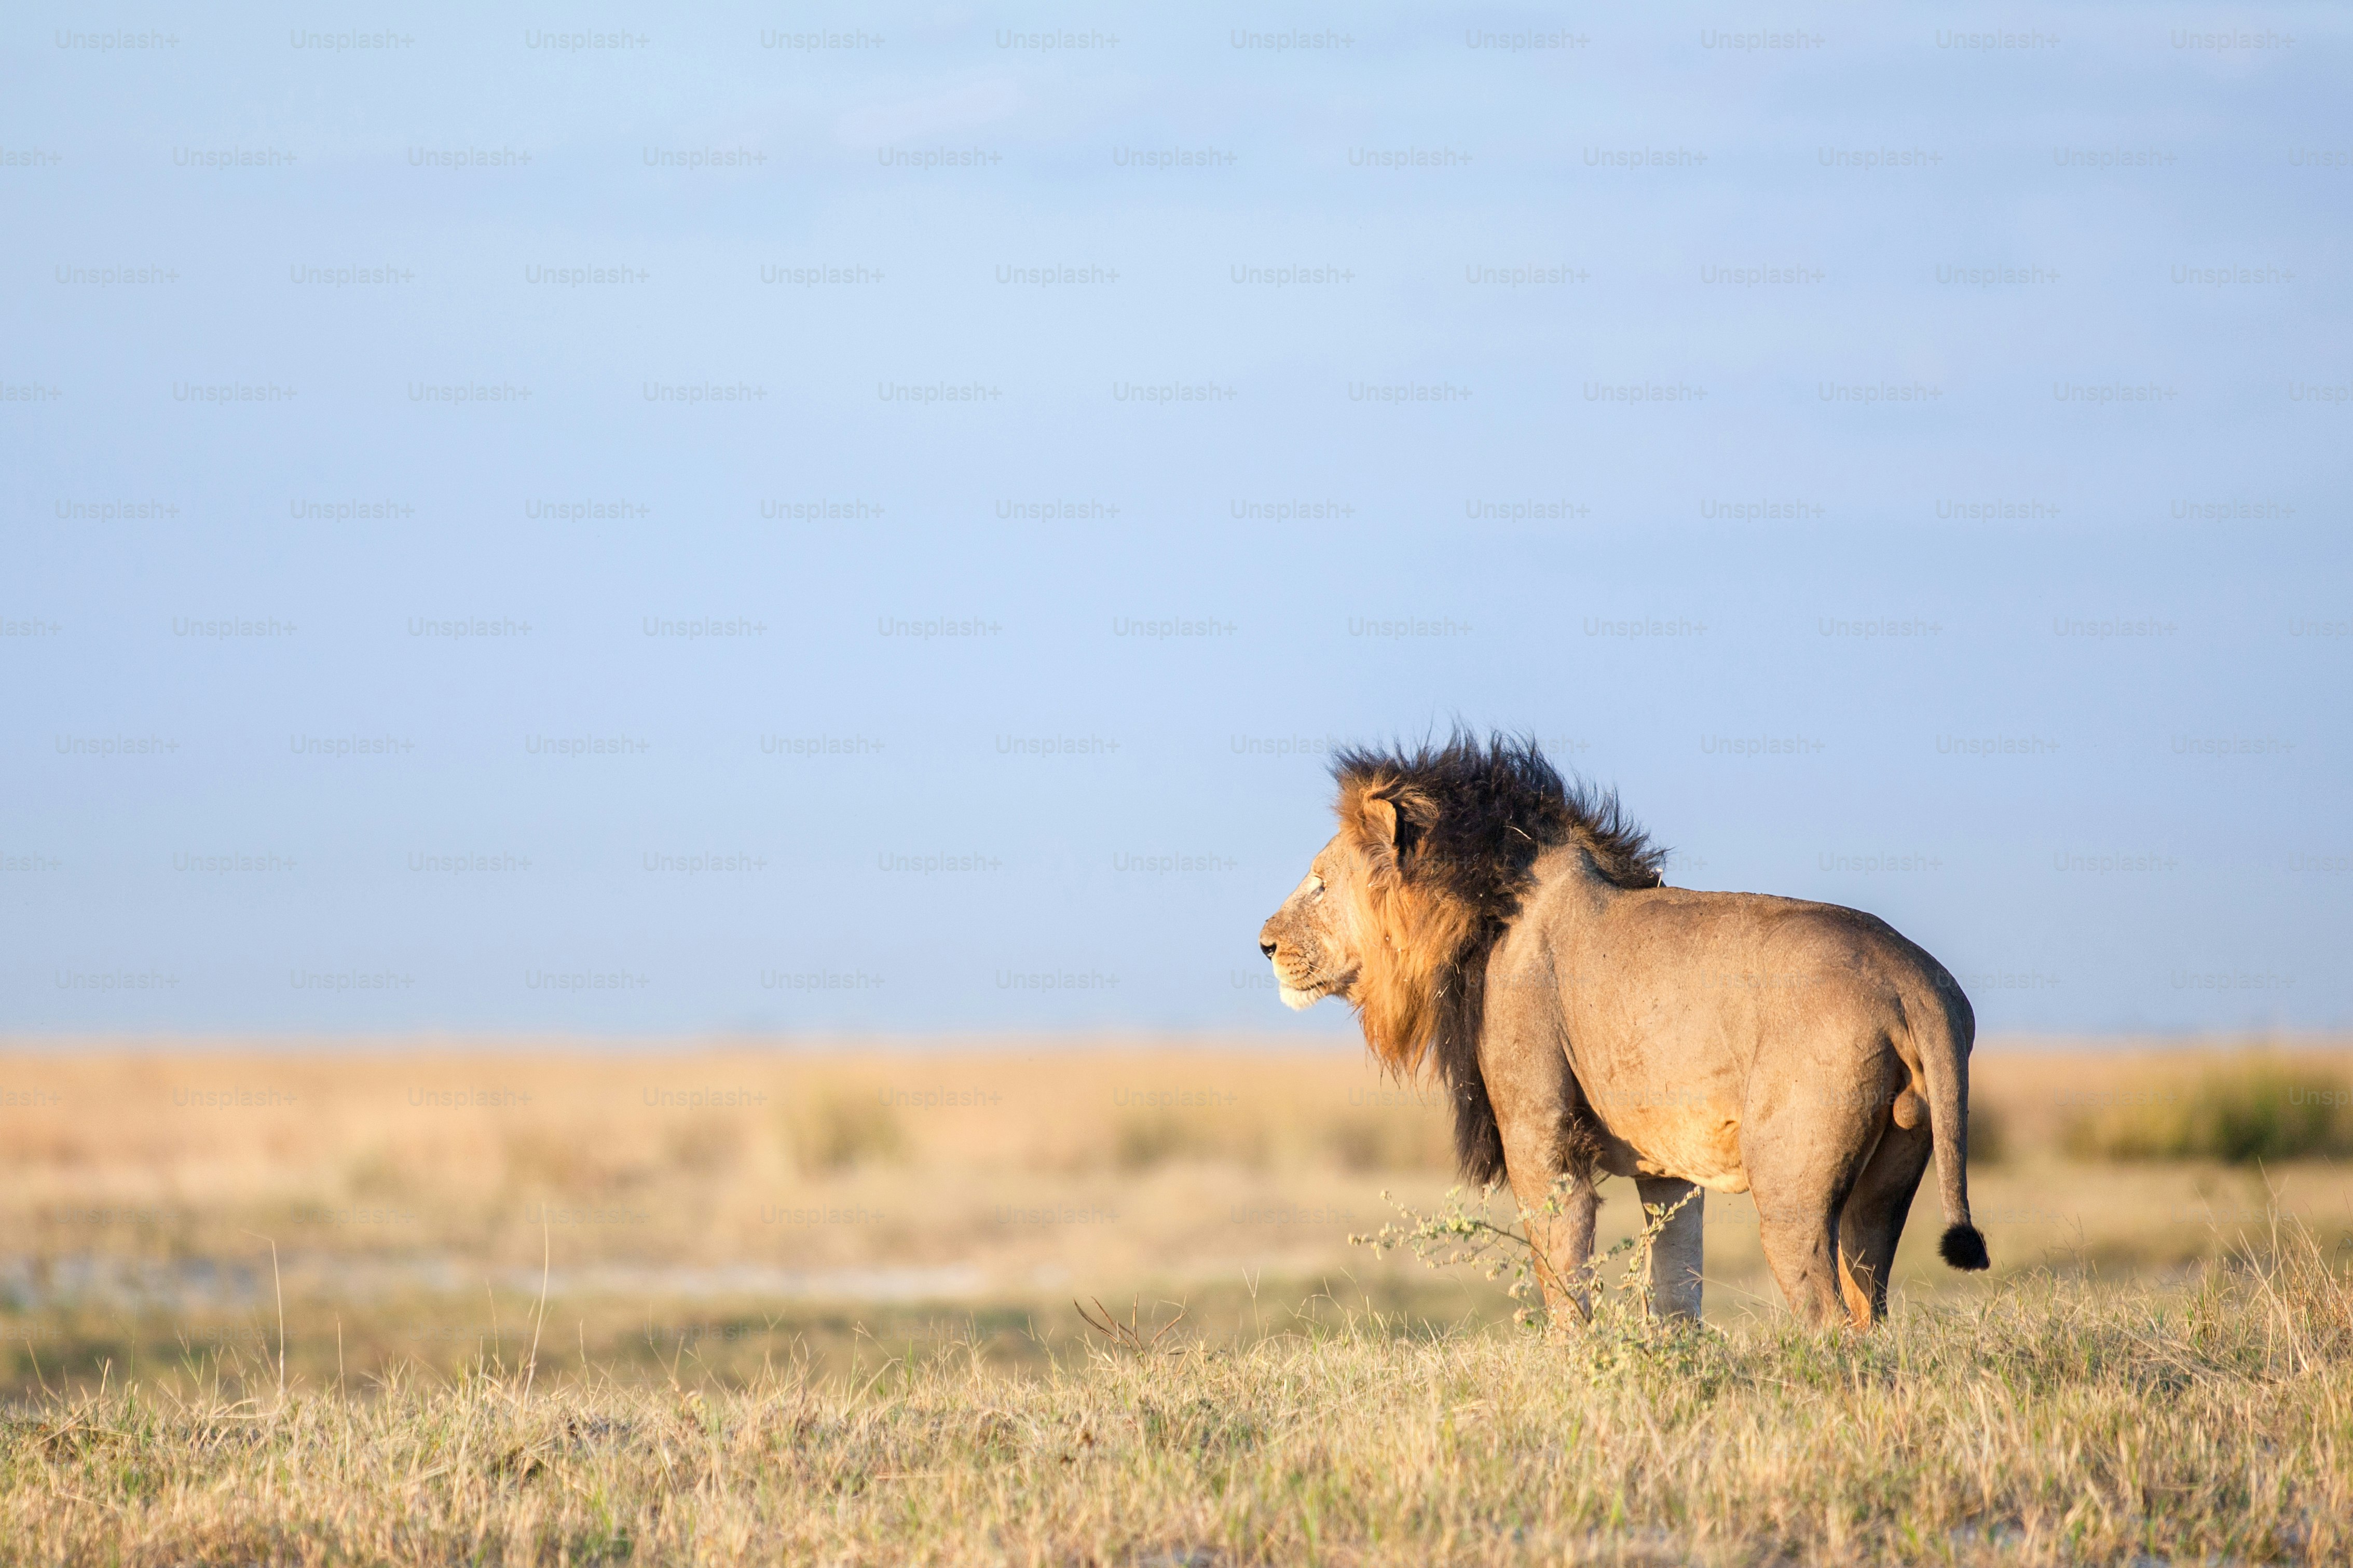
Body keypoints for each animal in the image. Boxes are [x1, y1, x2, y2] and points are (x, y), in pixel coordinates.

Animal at [1257, 732, 1987, 1329]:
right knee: (1871, 1308)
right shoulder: (1669, 1169)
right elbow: (1675, 1292)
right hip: (1887, 1179)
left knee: (1828, 1315)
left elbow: (1562, 1279)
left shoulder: (1541, 1136)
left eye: (1319, 884)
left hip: (1791, 1184)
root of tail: (1912, 974)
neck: (1482, 909)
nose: (1263, 944)